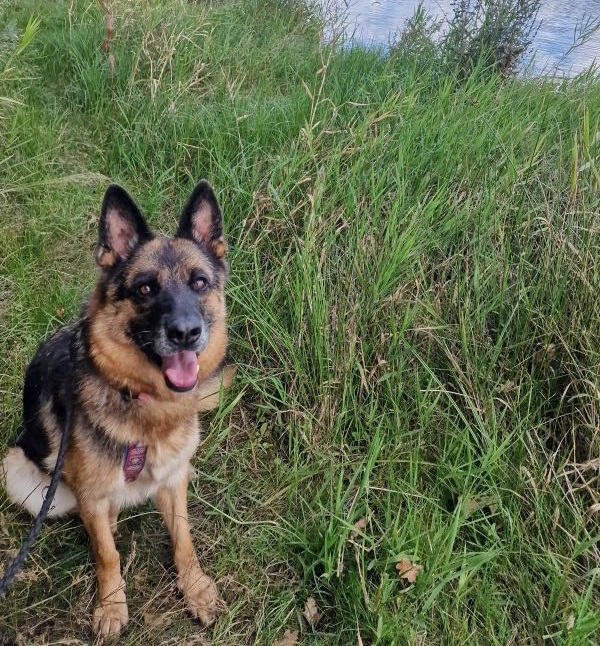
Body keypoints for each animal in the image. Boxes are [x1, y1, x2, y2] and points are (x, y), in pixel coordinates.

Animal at [1, 180, 231, 636]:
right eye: (145, 288)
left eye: (199, 283)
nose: (186, 333)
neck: (143, 401)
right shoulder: (91, 495)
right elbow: (107, 554)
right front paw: (110, 606)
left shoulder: (173, 482)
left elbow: (184, 539)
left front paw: (195, 588)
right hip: (24, 477)